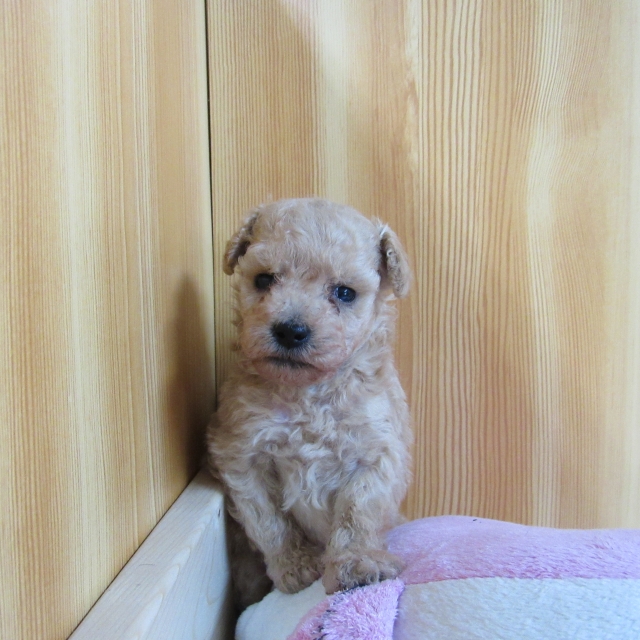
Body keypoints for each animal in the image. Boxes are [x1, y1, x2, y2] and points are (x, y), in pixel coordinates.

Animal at [207, 198, 412, 609]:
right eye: (264, 280)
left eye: (345, 293)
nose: (290, 330)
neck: (309, 394)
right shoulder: (242, 453)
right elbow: (269, 520)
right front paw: (296, 567)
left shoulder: (376, 453)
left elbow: (357, 513)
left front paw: (357, 564)